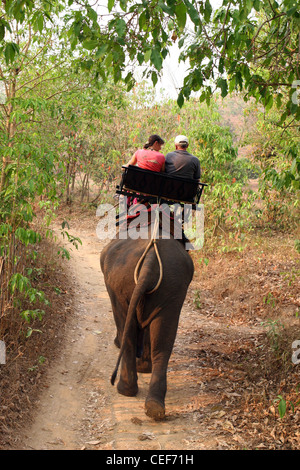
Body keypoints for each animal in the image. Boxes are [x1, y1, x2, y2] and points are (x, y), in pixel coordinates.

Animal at [100, 229, 195, 420]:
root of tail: (151, 258)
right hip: (172, 287)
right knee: (163, 343)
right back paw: (154, 406)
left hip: (120, 285)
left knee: (125, 326)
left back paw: (126, 390)